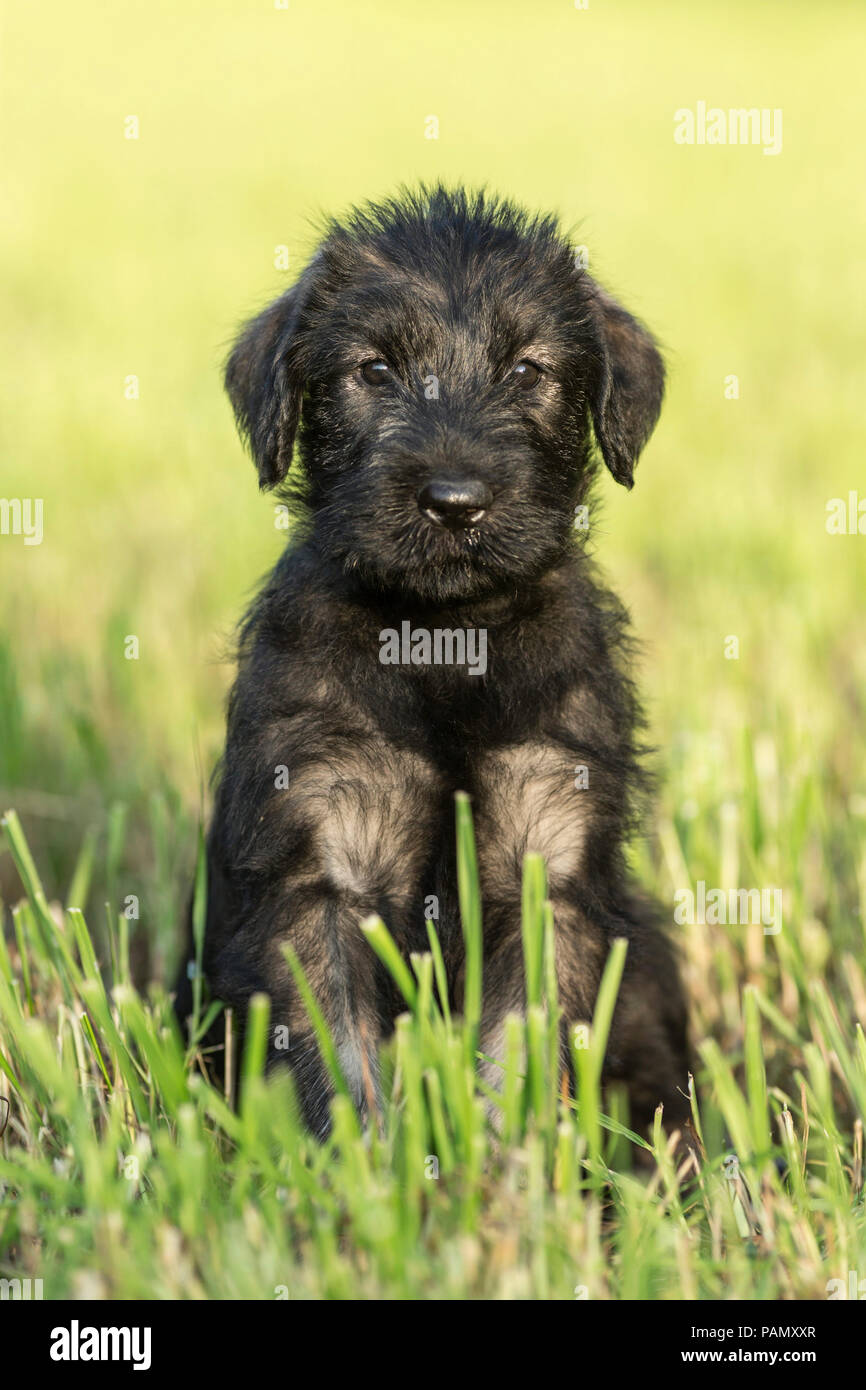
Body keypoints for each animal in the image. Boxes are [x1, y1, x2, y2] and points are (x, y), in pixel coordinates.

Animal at [183, 184, 692, 1139]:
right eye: (375, 371)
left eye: (527, 371)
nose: (455, 501)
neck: (445, 640)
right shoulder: (319, 870)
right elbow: (341, 1068)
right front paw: (367, 1169)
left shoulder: (548, 859)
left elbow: (517, 1063)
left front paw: (506, 1171)